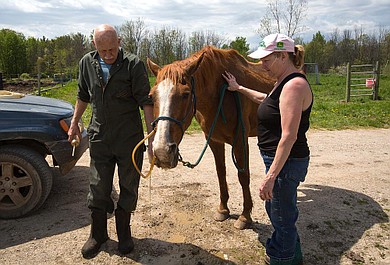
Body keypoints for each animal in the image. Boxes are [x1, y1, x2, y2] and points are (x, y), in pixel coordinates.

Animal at [147, 46, 274, 229]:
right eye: (151, 96)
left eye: (186, 94)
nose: (162, 151)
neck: (221, 92)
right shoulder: (214, 140)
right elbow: (221, 173)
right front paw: (223, 209)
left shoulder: (240, 141)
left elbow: (243, 176)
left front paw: (245, 216)